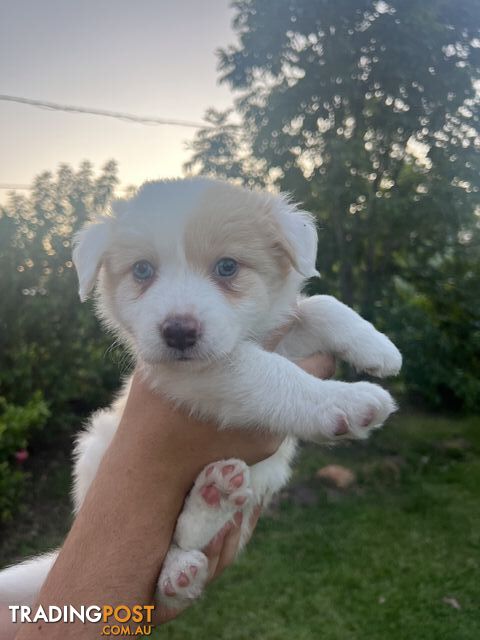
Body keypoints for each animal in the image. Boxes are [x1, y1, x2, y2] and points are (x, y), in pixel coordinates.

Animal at [0, 176, 402, 608]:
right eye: (142, 270)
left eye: (227, 267)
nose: (178, 332)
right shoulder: (196, 375)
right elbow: (267, 373)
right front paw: (348, 401)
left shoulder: (282, 336)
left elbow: (319, 306)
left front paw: (379, 348)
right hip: (94, 451)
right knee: (174, 538)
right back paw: (192, 541)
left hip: (267, 475)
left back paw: (213, 497)